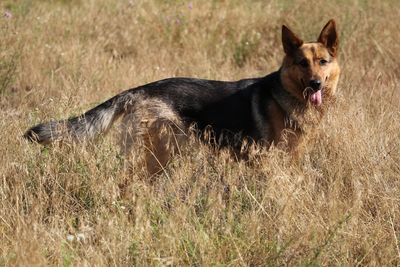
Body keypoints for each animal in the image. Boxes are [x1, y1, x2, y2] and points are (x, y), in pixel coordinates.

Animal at [23, 20, 340, 176]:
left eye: (322, 62)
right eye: (302, 63)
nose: (315, 84)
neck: (286, 95)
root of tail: (139, 90)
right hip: (156, 155)